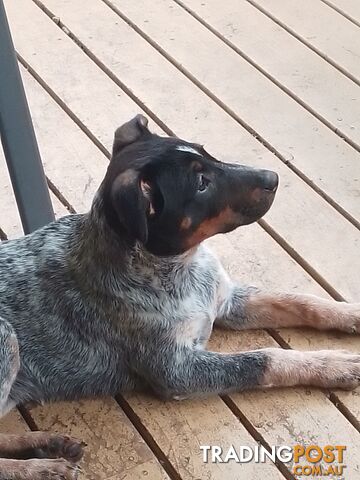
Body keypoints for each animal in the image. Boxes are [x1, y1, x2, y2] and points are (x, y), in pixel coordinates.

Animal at [0, 114, 358, 478]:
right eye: (201, 183)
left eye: (208, 154)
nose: (273, 177)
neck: (181, 269)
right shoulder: (177, 370)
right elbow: (265, 358)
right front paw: (333, 365)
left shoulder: (227, 301)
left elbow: (303, 302)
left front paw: (351, 314)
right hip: (7, 337)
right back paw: (41, 467)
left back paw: (49, 443)